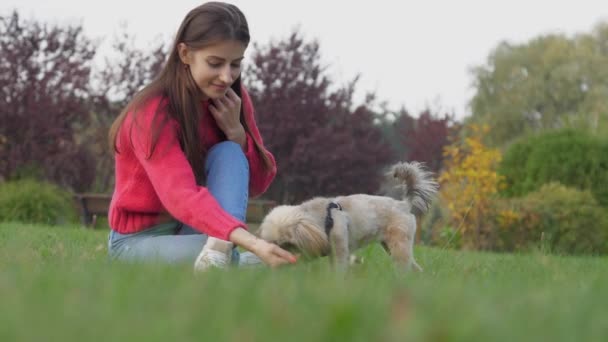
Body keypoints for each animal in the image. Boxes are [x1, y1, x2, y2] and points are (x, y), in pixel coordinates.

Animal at [255, 162, 436, 272]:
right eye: (274, 244)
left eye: (288, 244)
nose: (281, 264)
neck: (323, 220)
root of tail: (404, 204)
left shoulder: (340, 250)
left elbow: (338, 271)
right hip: (391, 246)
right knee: (414, 268)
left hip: (399, 245)